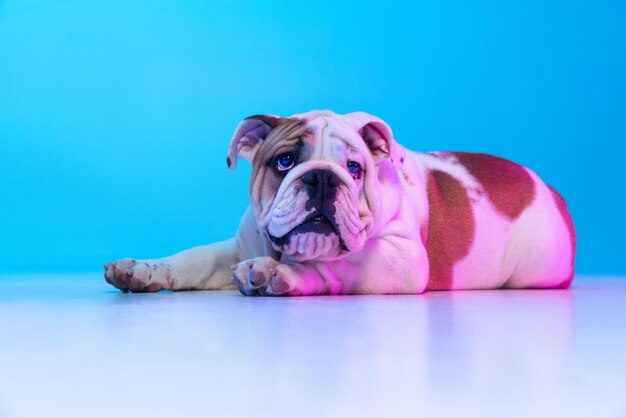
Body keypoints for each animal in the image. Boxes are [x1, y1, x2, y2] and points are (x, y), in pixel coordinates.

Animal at [103, 109, 576, 296]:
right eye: (284, 161)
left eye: (354, 168)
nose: (322, 178)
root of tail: (550, 188)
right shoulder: (240, 246)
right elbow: (194, 259)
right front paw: (143, 268)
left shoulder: (401, 259)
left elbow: (338, 263)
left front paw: (282, 273)